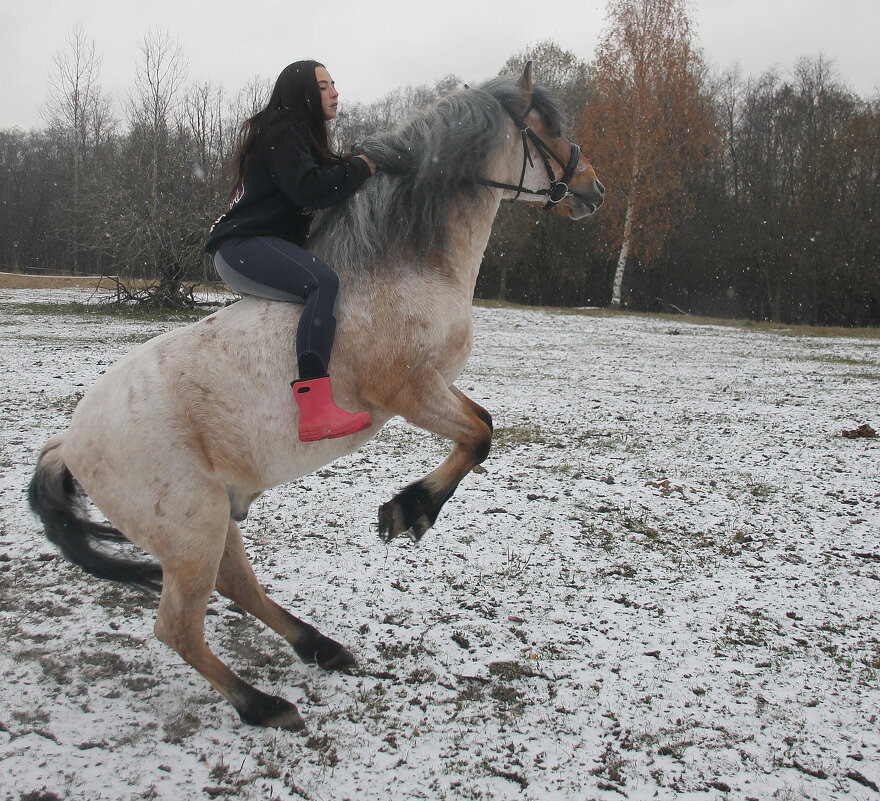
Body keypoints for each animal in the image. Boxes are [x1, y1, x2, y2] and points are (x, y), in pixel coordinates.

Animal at [27, 65, 604, 732]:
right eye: (548, 130)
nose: (594, 188)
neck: (402, 266)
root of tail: (70, 443)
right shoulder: (408, 390)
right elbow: (481, 434)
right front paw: (409, 511)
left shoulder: (433, 385)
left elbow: (482, 426)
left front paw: (407, 510)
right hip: (191, 529)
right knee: (179, 629)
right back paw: (263, 704)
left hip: (214, 518)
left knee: (239, 590)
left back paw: (321, 648)